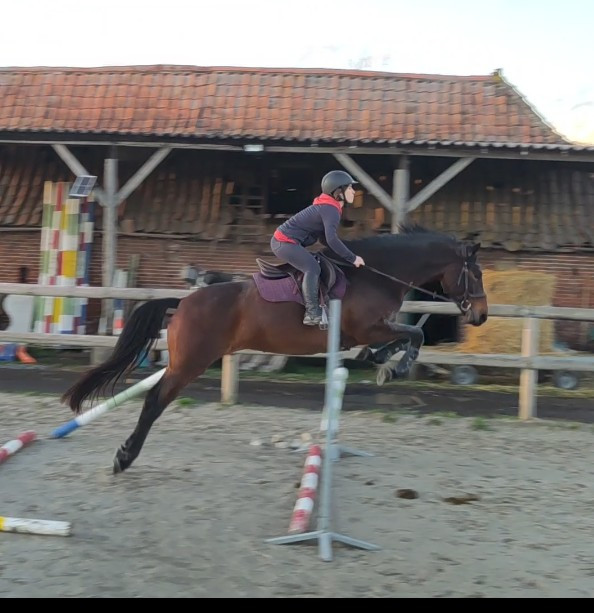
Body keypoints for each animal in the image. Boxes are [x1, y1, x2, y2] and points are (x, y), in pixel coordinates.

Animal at [61, 224, 489, 474]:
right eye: (477, 273)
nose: (482, 315)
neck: (376, 274)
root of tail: (182, 302)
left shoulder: (368, 331)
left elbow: (400, 338)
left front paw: (381, 362)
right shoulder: (367, 327)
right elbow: (413, 336)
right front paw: (393, 367)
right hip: (190, 363)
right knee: (154, 401)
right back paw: (124, 457)